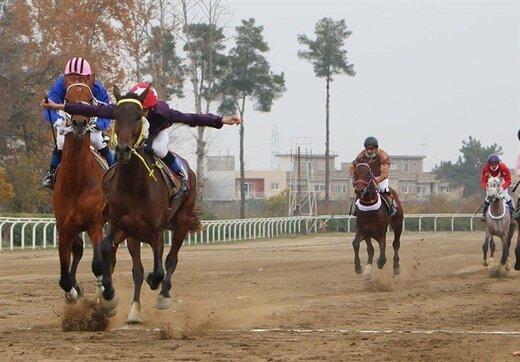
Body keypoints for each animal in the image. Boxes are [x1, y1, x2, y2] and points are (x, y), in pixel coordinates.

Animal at [97, 86, 201, 324]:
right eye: (116, 115)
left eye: (138, 116)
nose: (123, 150)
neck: (134, 186)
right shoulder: (120, 226)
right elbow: (107, 248)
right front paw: (109, 296)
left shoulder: (157, 229)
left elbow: (159, 270)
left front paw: (156, 284)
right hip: (134, 237)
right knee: (138, 270)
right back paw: (134, 311)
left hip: (181, 221)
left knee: (171, 260)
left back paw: (163, 294)